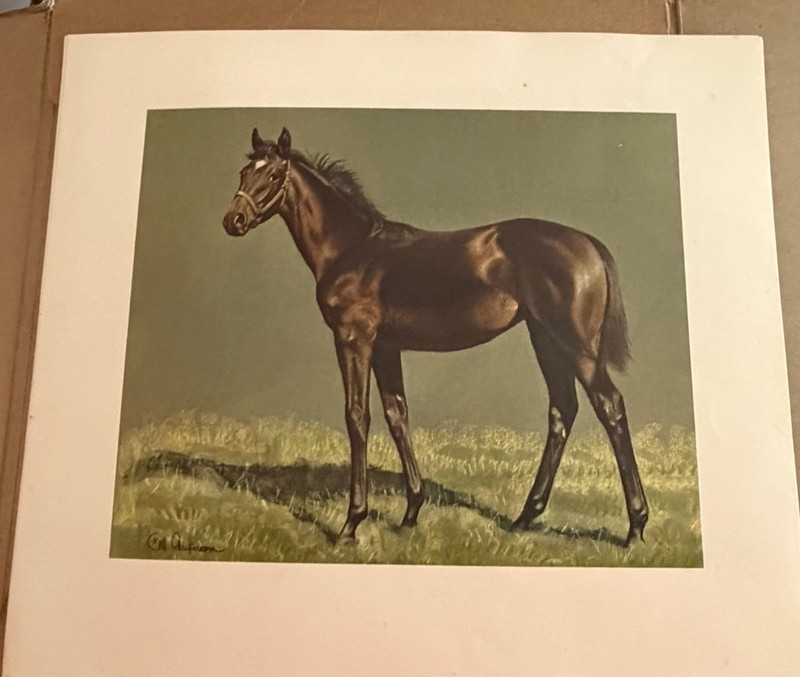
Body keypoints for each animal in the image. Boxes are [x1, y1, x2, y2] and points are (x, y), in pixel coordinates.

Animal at [222, 127, 649, 547]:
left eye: (273, 175)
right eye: (243, 173)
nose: (233, 220)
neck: (353, 249)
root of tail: (588, 244)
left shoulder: (353, 340)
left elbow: (357, 416)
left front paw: (350, 524)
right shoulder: (386, 347)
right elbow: (397, 414)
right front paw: (410, 514)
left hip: (575, 345)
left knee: (609, 405)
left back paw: (635, 527)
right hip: (545, 339)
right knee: (563, 409)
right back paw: (525, 517)